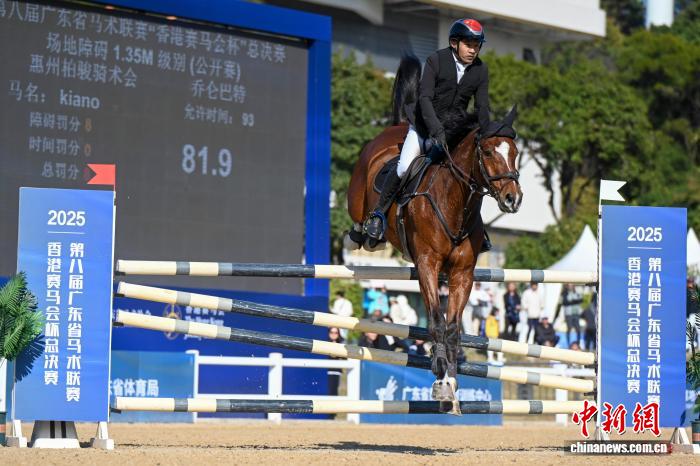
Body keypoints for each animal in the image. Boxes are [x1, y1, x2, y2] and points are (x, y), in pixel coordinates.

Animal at [346, 55, 523, 414]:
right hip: (358, 199)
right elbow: (437, 323)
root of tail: (397, 127)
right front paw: (440, 379)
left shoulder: (462, 273)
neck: (455, 201)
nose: (513, 198)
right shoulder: (427, 264)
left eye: (514, 152)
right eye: (487, 152)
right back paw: (366, 233)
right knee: (359, 223)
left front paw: (451, 383)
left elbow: (453, 327)